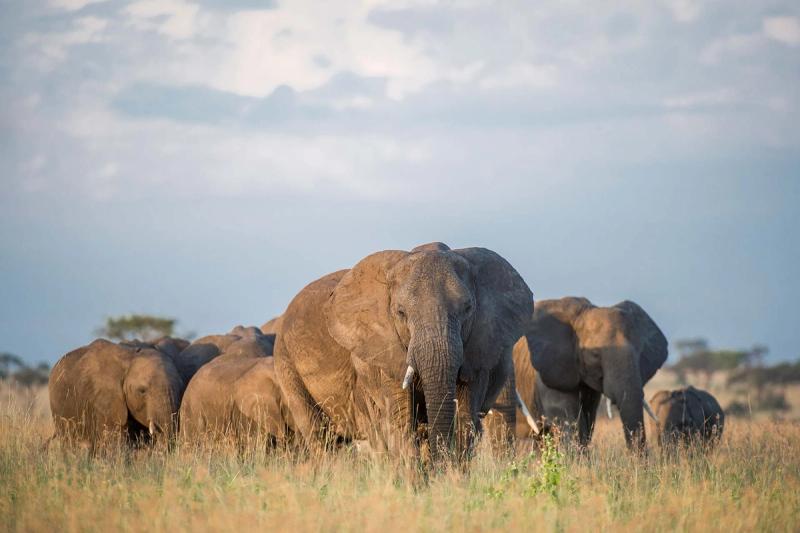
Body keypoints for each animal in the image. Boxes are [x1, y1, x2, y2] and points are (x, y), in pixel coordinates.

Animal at [273, 242, 533, 458]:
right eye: (400, 312)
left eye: (468, 309)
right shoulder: (381, 355)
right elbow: (400, 422)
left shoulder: (478, 351)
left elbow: (464, 419)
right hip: (286, 363)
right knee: (319, 436)